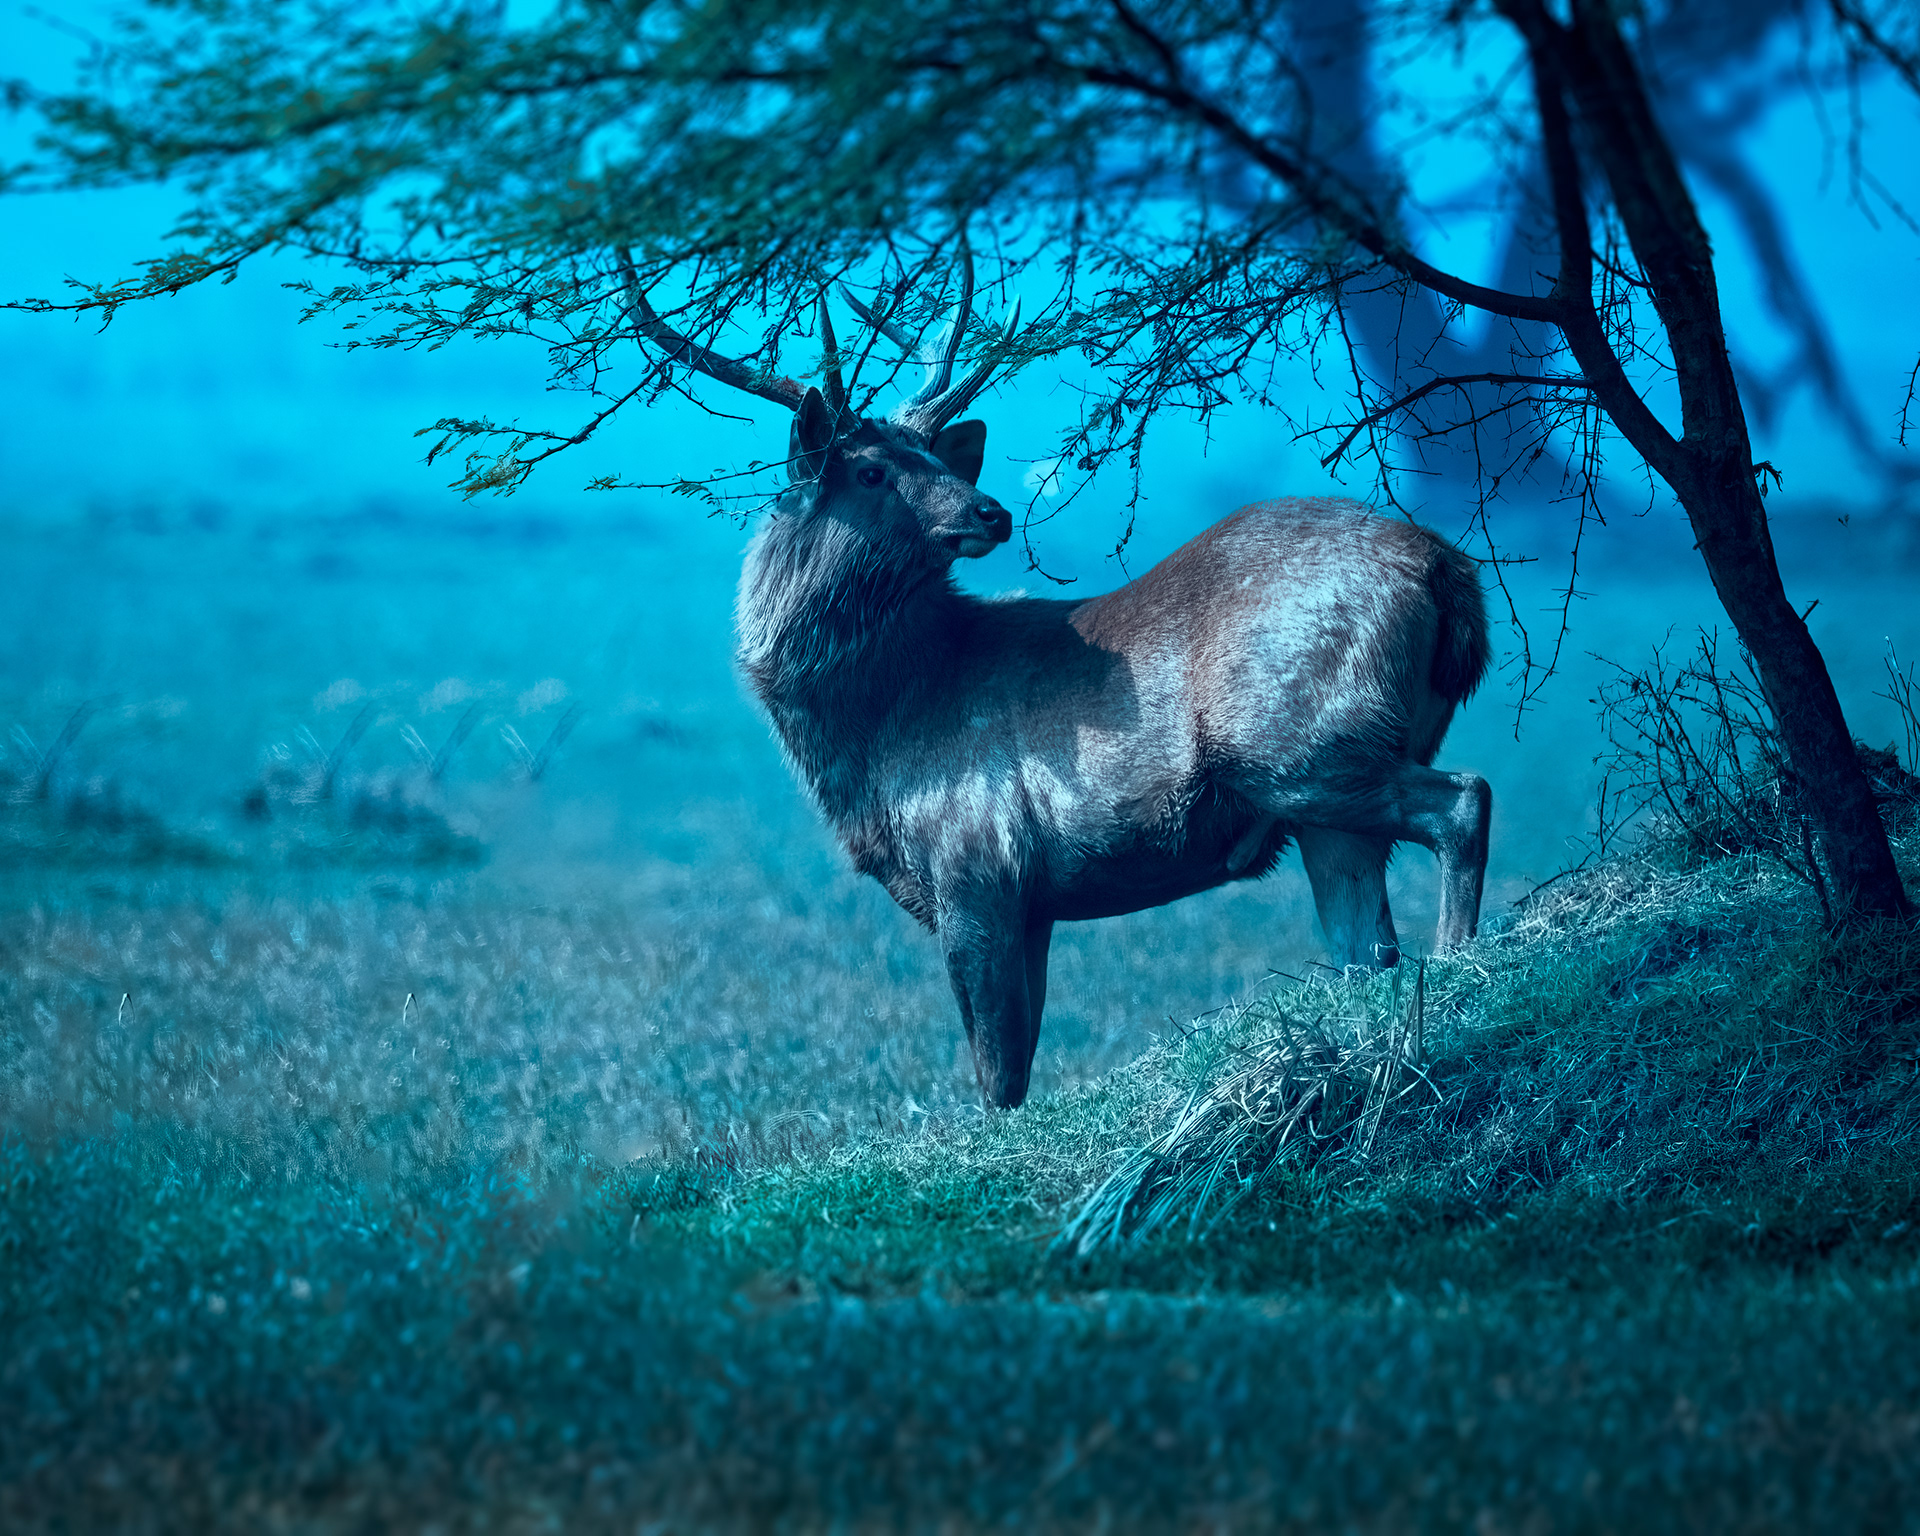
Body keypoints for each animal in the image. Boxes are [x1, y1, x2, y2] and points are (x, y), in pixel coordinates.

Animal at [628, 263, 1492, 1109]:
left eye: (934, 458)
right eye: (873, 470)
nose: (991, 510)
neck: (880, 734)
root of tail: (1444, 570)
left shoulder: (975, 864)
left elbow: (998, 1077)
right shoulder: (1030, 900)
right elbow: (1017, 1056)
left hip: (1300, 746)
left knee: (1465, 799)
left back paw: (1461, 970)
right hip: (1327, 805)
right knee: (1368, 947)